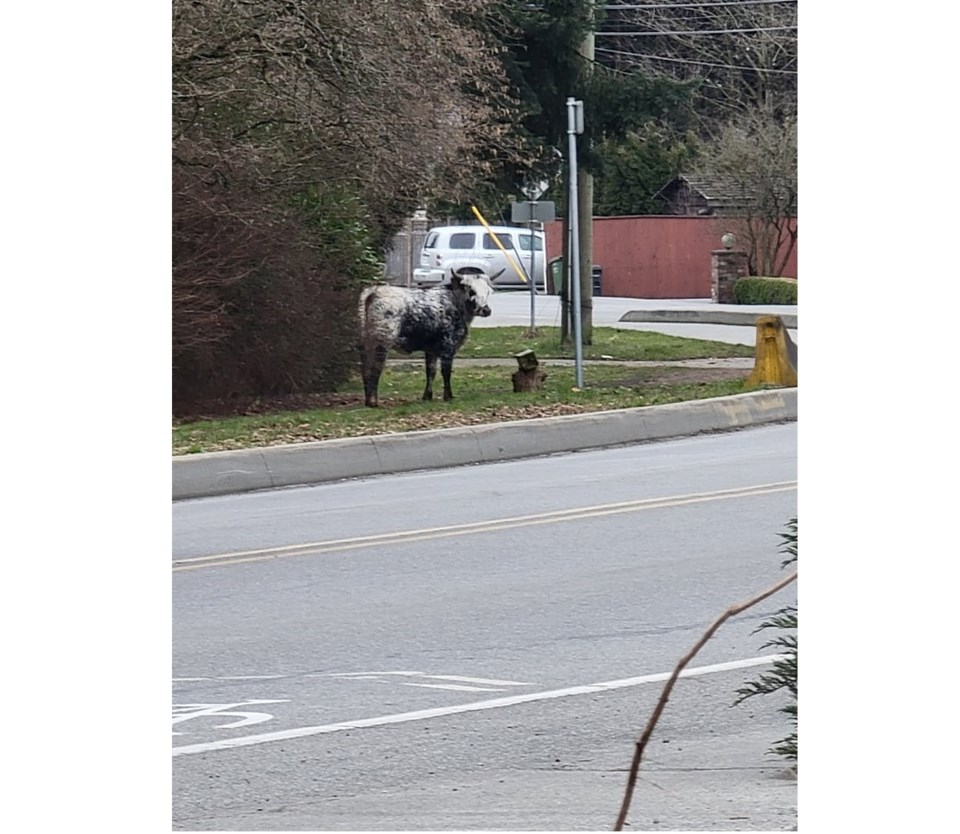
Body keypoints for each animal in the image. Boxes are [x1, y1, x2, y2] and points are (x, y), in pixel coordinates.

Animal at [358, 270, 496, 406]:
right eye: (471, 291)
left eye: (488, 291)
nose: (486, 310)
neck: (455, 302)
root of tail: (374, 291)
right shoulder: (448, 346)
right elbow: (446, 371)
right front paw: (448, 396)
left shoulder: (431, 349)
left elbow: (431, 371)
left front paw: (427, 396)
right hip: (381, 341)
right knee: (375, 367)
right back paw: (373, 402)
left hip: (367, 343)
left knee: (365, 367)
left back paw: (368, 400)